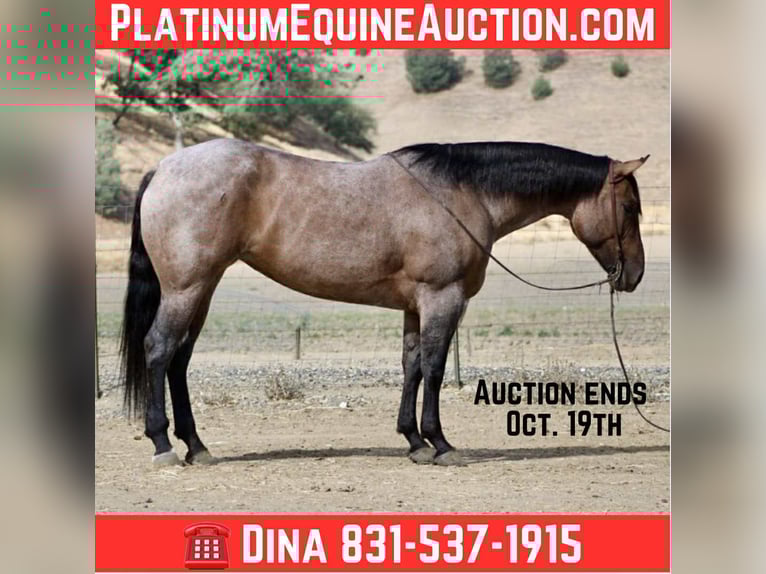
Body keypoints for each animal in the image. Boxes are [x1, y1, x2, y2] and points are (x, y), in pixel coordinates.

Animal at [120, 139, 648, 467]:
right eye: (629, 207)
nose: (635, 276)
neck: (462, 192)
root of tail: (163, 168)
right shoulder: (442, 298)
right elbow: (434, 368)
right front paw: (440, 442)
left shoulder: (415, 305)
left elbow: (411, 365)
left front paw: (414, 441)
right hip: (187, 288)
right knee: (159, 349)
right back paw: (163, 444)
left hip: (202, 289)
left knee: (179, 360)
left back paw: (197, 445)